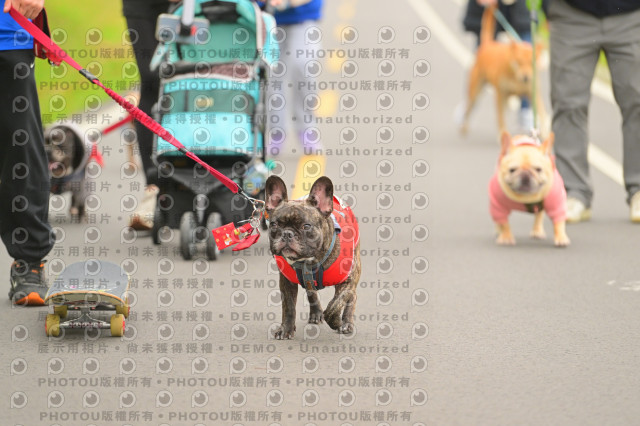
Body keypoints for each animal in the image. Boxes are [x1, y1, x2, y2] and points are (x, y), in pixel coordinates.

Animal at [265, 175, 361, 339]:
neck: (308, 261)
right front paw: (285, 329)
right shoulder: (287, 282)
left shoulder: (347, 280)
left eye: (306, 226)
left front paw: (337, 322)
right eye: (274, 224)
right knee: (311, 292)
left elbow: (334, 306)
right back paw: (316, 313)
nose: (287, 233)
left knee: (352, 297)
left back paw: (347, 322)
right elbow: (289, 307)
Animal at [460, 4, 546, 136]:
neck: (516, 77)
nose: (526, 77)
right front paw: (502, 134)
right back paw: (463, 127)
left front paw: (545, 133)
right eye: (519, 61)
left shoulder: (533, 94)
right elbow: (501, 118)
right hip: (475, 91)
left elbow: (542, 115)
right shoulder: (501, 95)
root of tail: (488, 44)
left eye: (532, 63)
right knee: (468, 108)